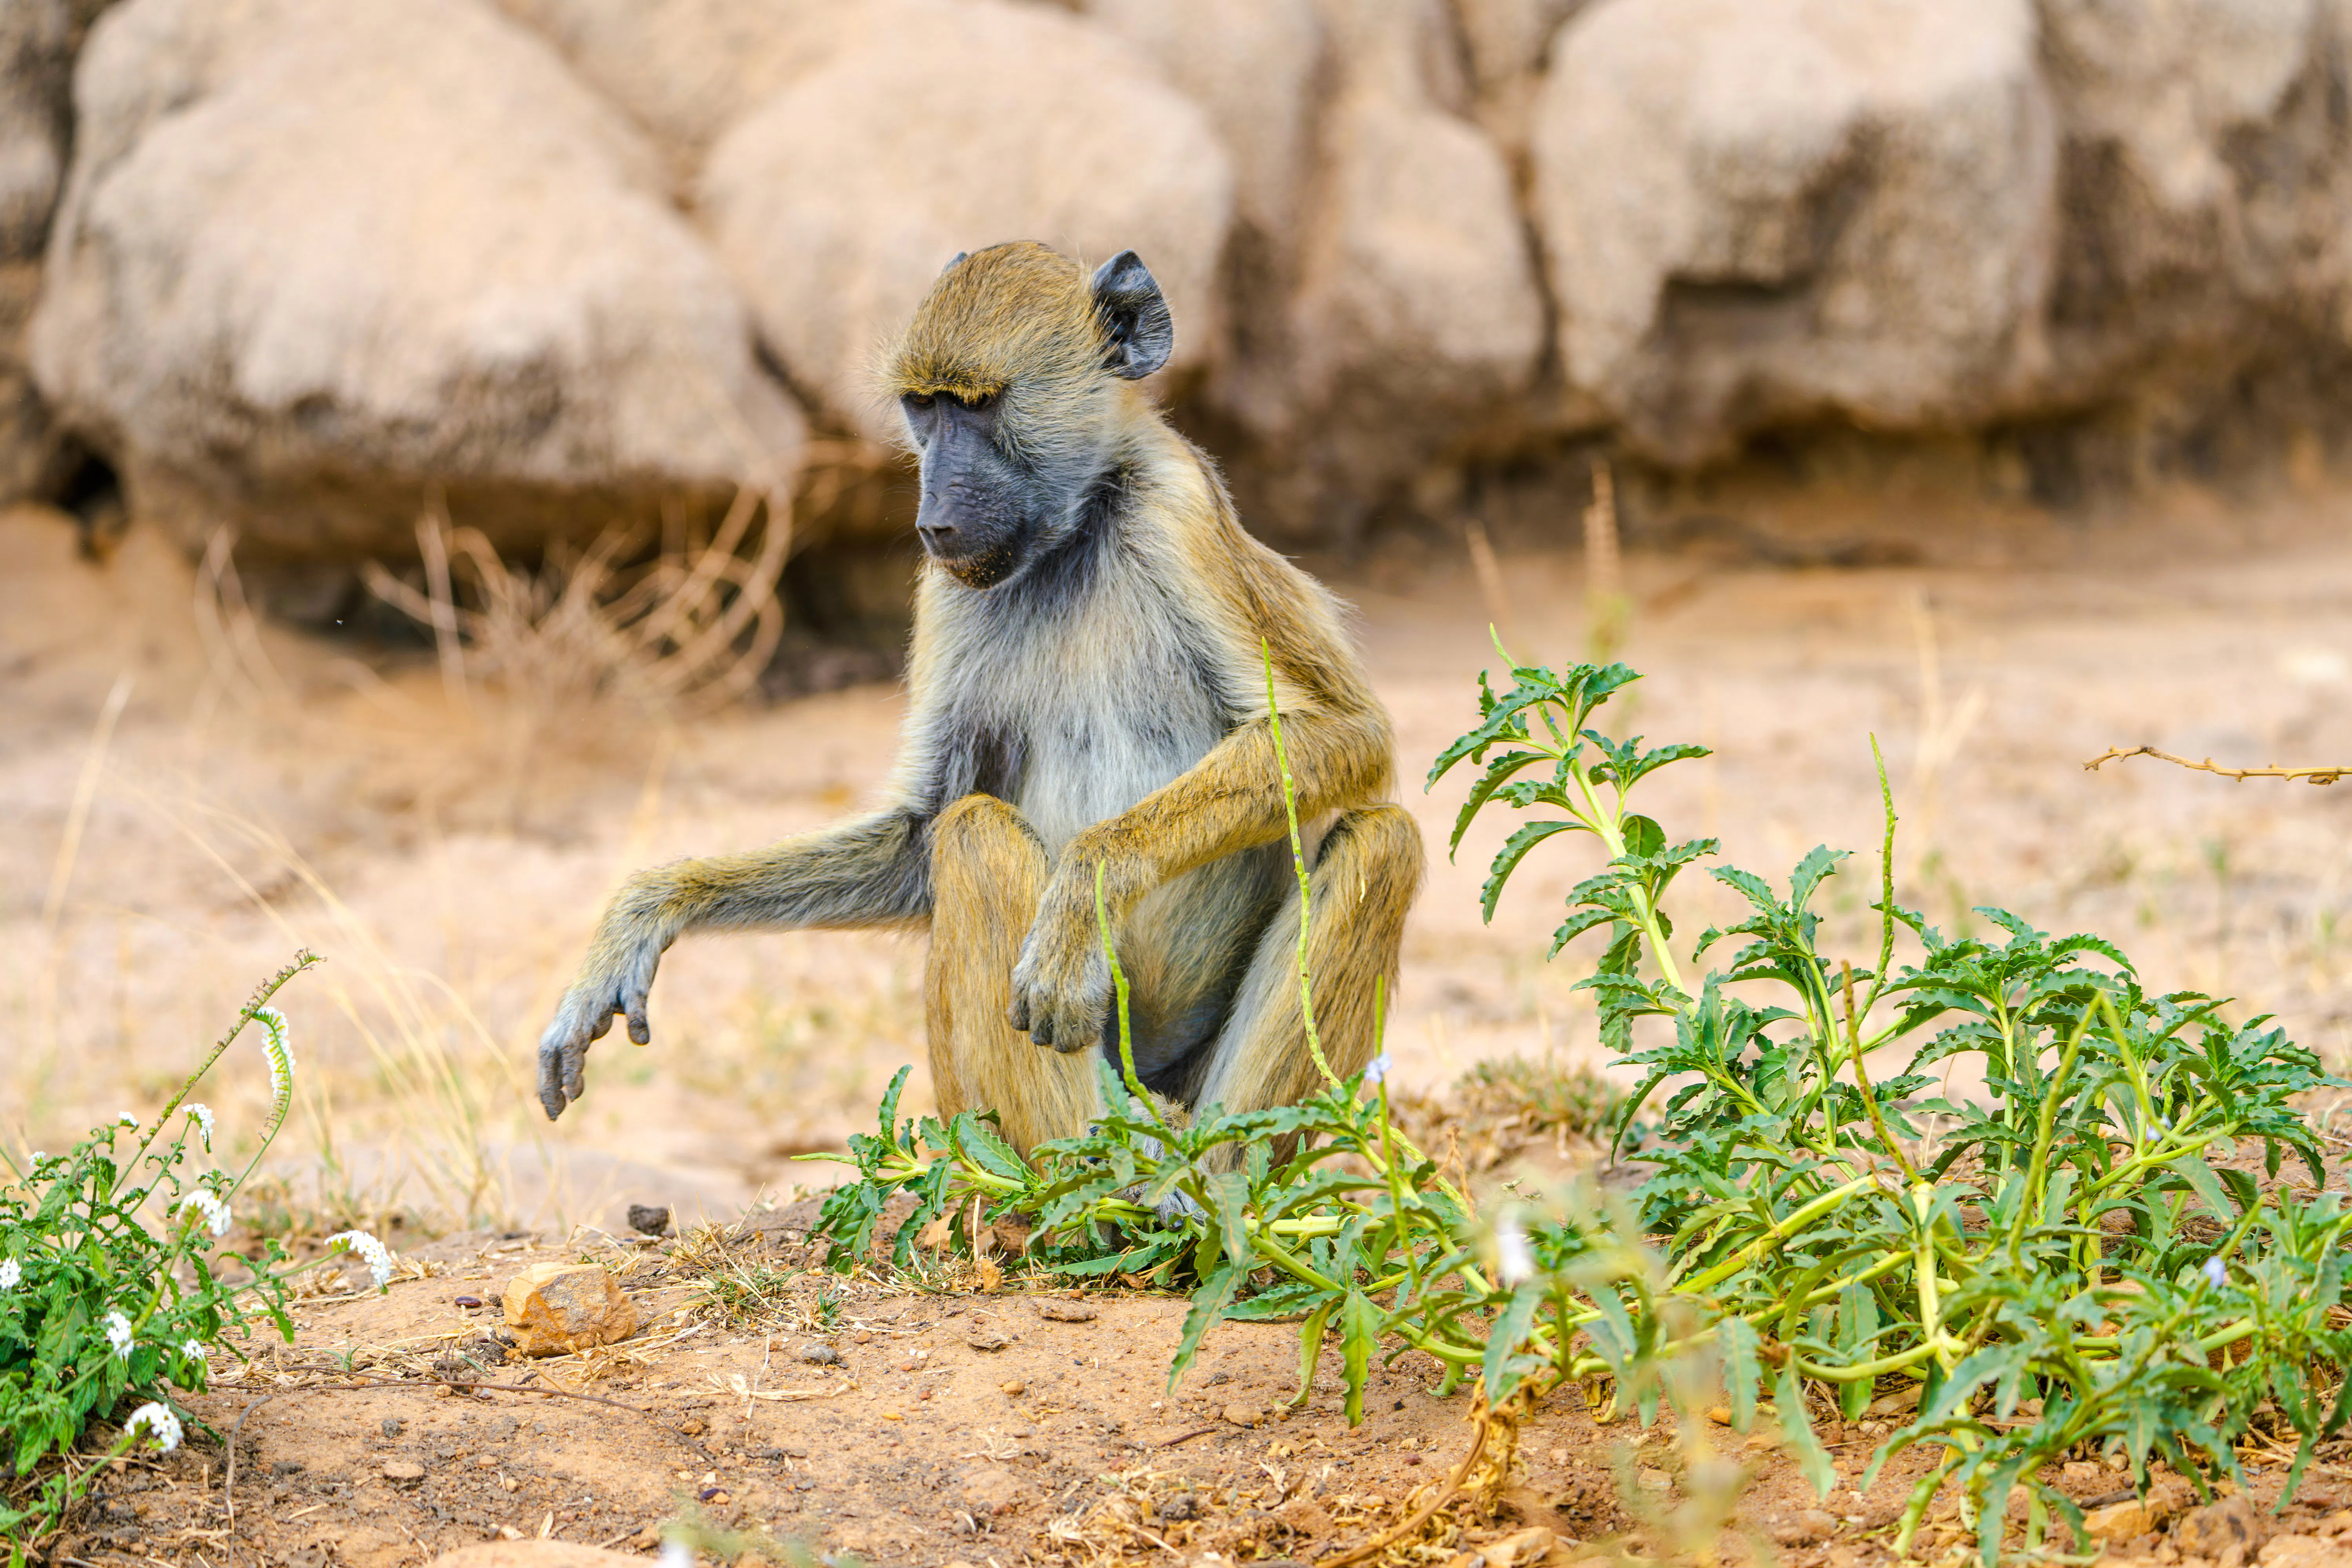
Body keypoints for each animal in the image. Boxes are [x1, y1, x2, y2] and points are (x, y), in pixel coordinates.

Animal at [535, 240, 1422, 1157]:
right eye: (924, 409)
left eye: (979, 406)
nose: (934, 517)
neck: (1073, 538)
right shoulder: (946, 586)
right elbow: (922, 836)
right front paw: (654, 907)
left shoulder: (1176, 510)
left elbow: (1342, 732)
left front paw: (1086, 887)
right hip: (991, 1108)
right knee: (973, 834)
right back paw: (1092, 1172)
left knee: (1382, 841)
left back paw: (1211, 1171)